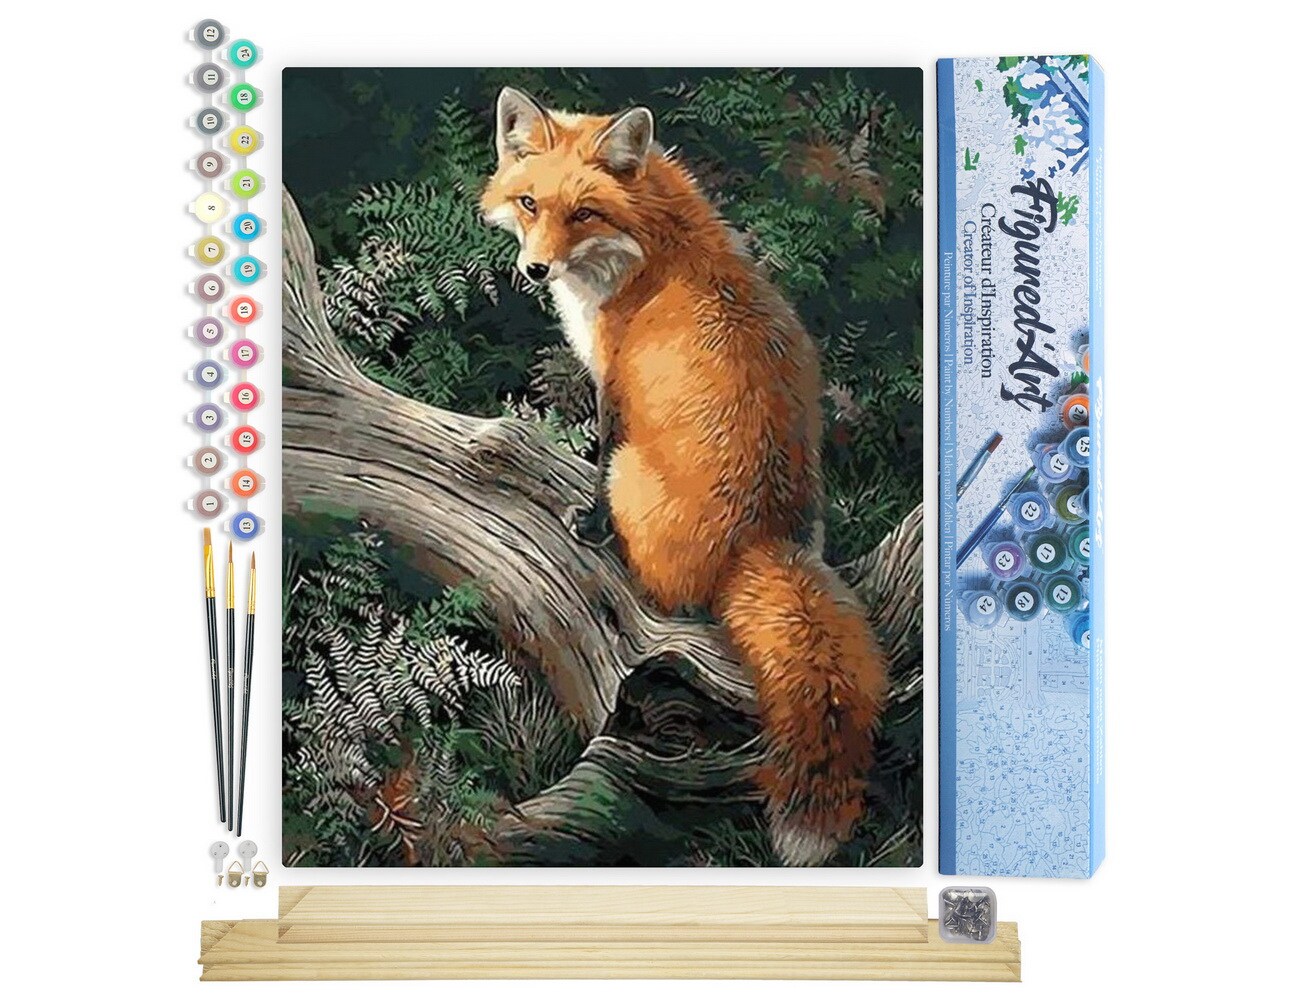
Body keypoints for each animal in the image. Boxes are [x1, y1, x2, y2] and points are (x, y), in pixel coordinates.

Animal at [479, 87, 888, 865]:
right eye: (529, 203)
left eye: (583, 213)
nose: (535, 271)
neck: (654, 246)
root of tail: (761, 542)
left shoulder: (613, 383)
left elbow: (597, 456)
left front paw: (587, 523)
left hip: (635, 476)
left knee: (661, 586)